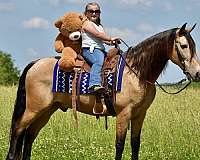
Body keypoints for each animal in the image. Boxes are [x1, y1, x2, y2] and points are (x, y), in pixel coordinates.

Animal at [5, 22, 200, 160]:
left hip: (46, 110)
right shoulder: (124, 114)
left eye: (193, 45)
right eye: (183, 46)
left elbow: (135, 144)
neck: (136, 71)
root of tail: (35, 63)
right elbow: (120, 145)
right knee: (17, 130)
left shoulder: (139, 114)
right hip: (33, 109)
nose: (197, 73)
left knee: (29, 135)